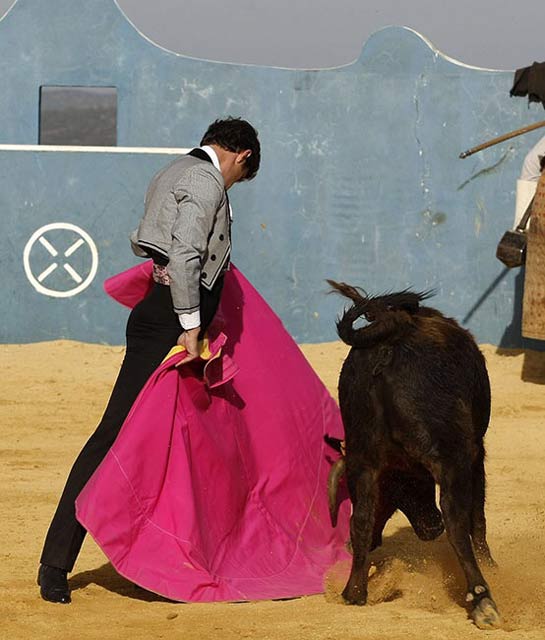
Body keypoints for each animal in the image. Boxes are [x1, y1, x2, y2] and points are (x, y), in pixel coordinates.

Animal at [326, 282, 500, 632]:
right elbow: (477, 519)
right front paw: (490, 565)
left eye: (400, 492)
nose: (429, 527)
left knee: (360, 520)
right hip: (453, 455)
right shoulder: (476, 453)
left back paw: (355, 591)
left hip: (363, 457)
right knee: (456, 520)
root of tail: (388, 339)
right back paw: (482, 598)